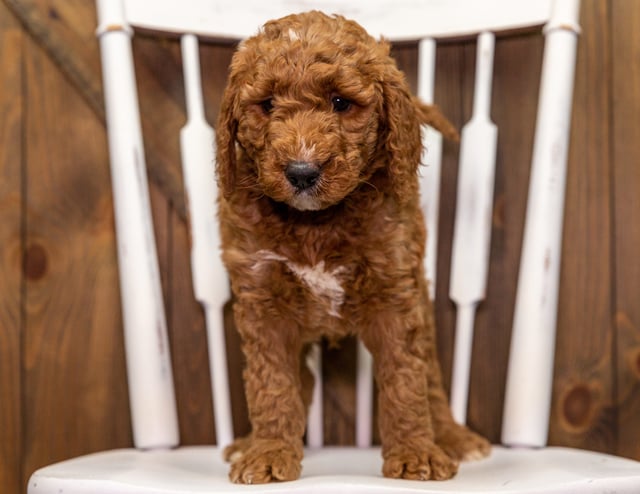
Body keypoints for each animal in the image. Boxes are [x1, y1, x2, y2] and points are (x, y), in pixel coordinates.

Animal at [215, 10, 490, 482]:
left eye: (341, 103)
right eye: (267, 104)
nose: (301, 171)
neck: (315, 223)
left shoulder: (395, 290)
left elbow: (406, 379)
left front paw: (415, 453)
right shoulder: (261, 298)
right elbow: (272, 384)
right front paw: (269, 452)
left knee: (432, 377)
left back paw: (453, 438)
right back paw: (250, 443)